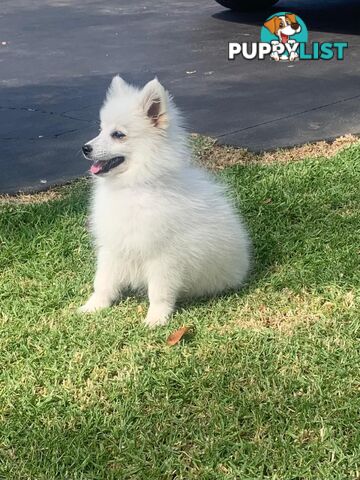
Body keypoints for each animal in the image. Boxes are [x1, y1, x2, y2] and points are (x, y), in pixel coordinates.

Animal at [79, 78, 250, 326]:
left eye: (118, 134)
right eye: (101, 129)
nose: (85, 148)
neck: (134, 185)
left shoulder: (164, 257)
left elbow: (159, 292)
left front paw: (156, 319)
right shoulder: (113, 246)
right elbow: (103, 281)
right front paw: (93, 307)